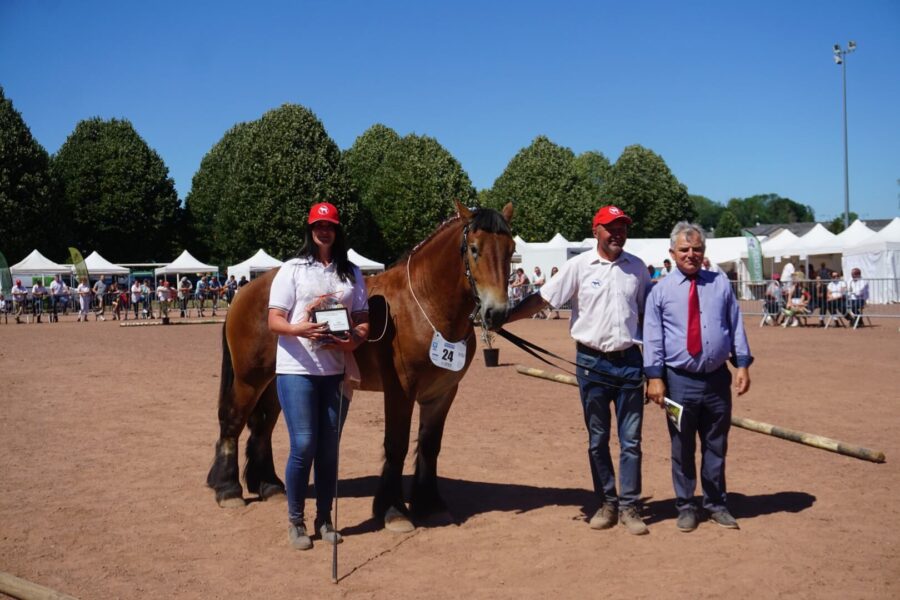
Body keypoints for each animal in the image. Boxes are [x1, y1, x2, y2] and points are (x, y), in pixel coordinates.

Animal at [206, 204, 512, 532]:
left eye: (511, 250)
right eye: (474, 249)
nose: (496, 313)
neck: (424, 306)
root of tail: (244, 291)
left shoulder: (442, 393)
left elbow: (430, 446)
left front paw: (430, 505)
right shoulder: (400, 390)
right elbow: (396, 444)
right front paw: (393, 510)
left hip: (276, 383)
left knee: (262, 427)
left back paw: (269, 486)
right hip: (249, 379)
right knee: (233, 421)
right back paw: (228, 489)